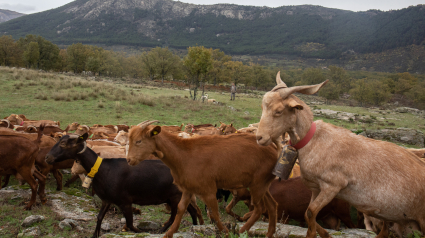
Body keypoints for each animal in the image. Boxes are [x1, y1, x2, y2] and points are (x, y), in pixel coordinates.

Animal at [44, 134, 202, 238]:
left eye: (63, 143)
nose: (47, 158)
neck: (102, 169)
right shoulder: (107, 200)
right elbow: (99, 217)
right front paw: (94, 235)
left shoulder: (125, 201)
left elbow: (131, 224)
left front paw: (142, 232)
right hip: (179, 196)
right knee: (192, 211)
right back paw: (195, 227)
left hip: (174, 196)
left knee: (175, 215)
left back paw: (162, 230)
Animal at [126, 121, 278, 238]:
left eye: (139, 141)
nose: (129, 160)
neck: (184, 154)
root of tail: (274, 150)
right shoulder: (188, 188)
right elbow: (181, 209)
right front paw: (168, 233)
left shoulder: (209, 190)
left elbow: (215, 213)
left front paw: (226, 232)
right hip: (263, 184)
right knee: (272, 205)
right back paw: (269, 233)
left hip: (257, 184)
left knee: (259, 208)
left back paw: (241, 231)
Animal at [255, 72, 425, 238]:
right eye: (262, 107)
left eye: (278, 111)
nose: (259, 137)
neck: (313, 140)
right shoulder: (316, 188)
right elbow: (308, 214)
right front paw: (325, 234)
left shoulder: (332, 186)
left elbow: (311, 212)